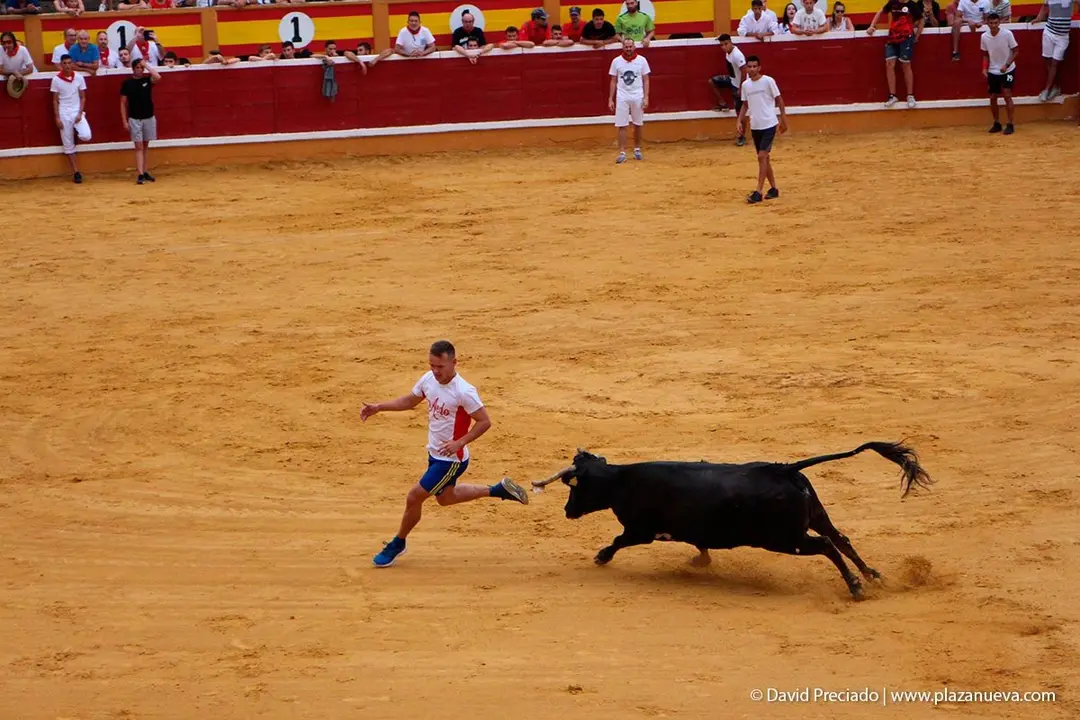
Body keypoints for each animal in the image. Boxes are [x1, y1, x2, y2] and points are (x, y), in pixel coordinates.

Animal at [530, 441, 933, 600]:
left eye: (576, 488)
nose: (567, 511)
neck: (620, 481)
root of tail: (785, 469)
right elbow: (700, 543)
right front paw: (700, 561)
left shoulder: (640, 531)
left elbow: (618, 541)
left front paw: (601, 557)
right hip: (816, 517)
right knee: (842, 539)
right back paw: (874, 576)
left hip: (786, 539)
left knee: (827, 546)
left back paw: (855, 587)